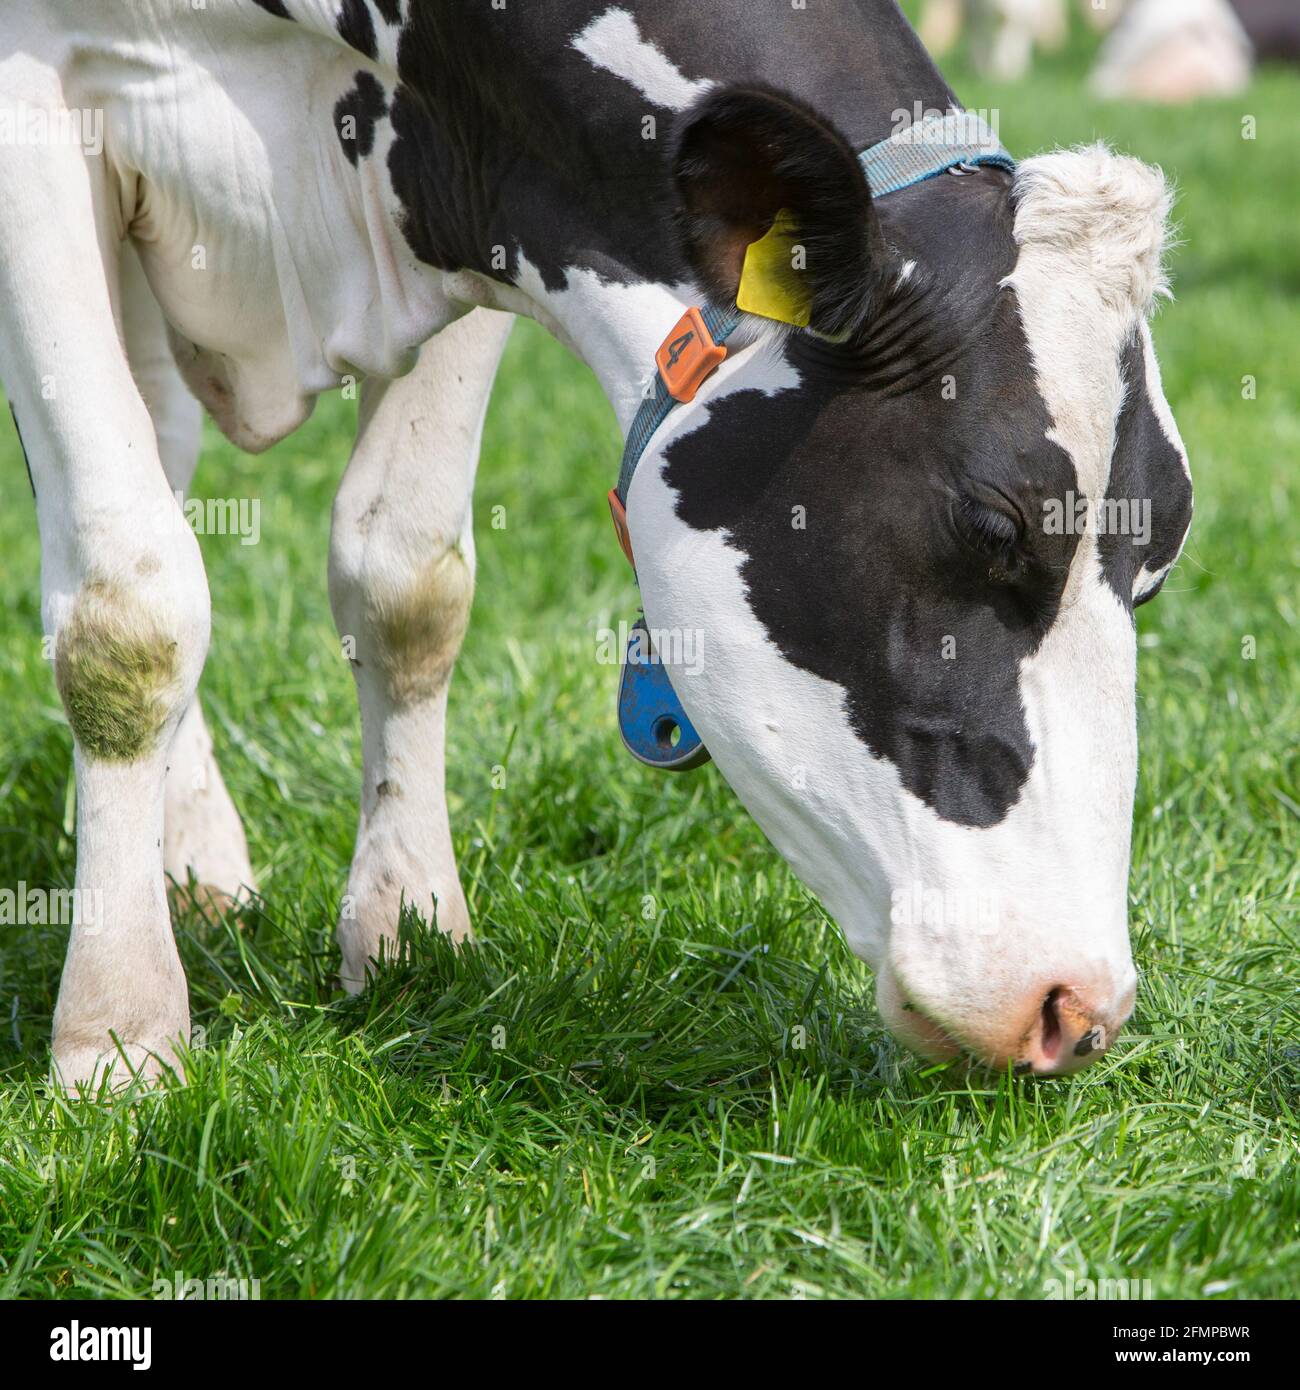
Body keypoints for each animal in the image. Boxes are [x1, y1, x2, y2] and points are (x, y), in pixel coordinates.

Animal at [0, 0, 1193, 1092]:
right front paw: (118, 1034)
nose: (1078, 1005)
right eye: (995, 525)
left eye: (1161, 556)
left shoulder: (470, 187)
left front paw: (404, 930)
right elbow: (128, 614)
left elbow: (405, 579)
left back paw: (195, 853)